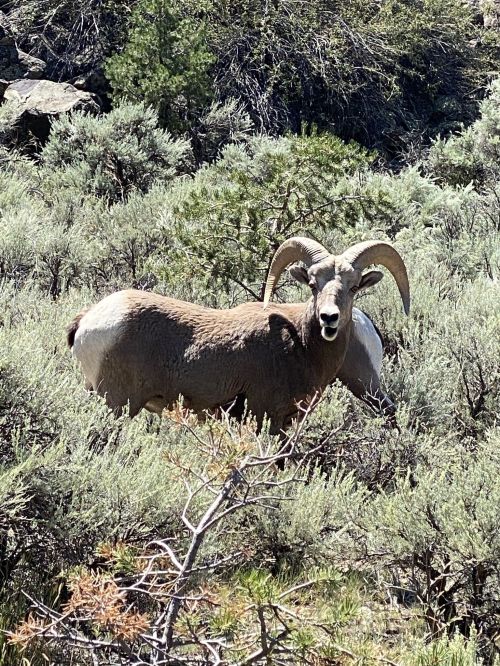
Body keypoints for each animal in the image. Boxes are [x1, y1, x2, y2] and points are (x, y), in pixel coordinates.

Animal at [68, 237, 409, 433]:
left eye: (353, 287)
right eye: (313, 284)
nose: (329, 318)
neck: (300, 344)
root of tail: (88, 320)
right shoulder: (265, 418)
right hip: (116, 404)